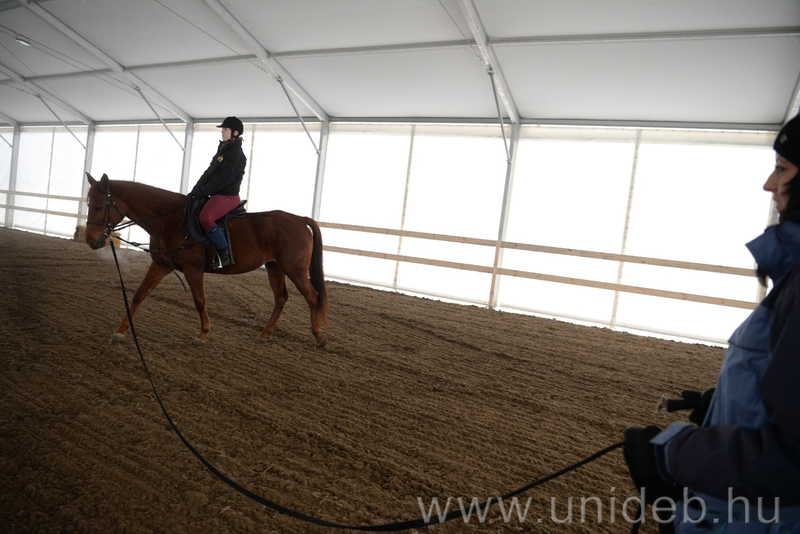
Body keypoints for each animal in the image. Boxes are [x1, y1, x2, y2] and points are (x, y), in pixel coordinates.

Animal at [83, 173, 329, 346]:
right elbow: (138, 295)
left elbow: (200, 300)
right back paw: (264, 334)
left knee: (313, 296)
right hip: (274, 267)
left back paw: (319, 336)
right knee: (281, 298)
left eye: (98, 206)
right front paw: (120, 331)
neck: (171, 220)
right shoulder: (161, 265)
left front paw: (202, 334)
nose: (91, 241)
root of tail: (300, 219)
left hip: (294, 269)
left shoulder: (193, 269)